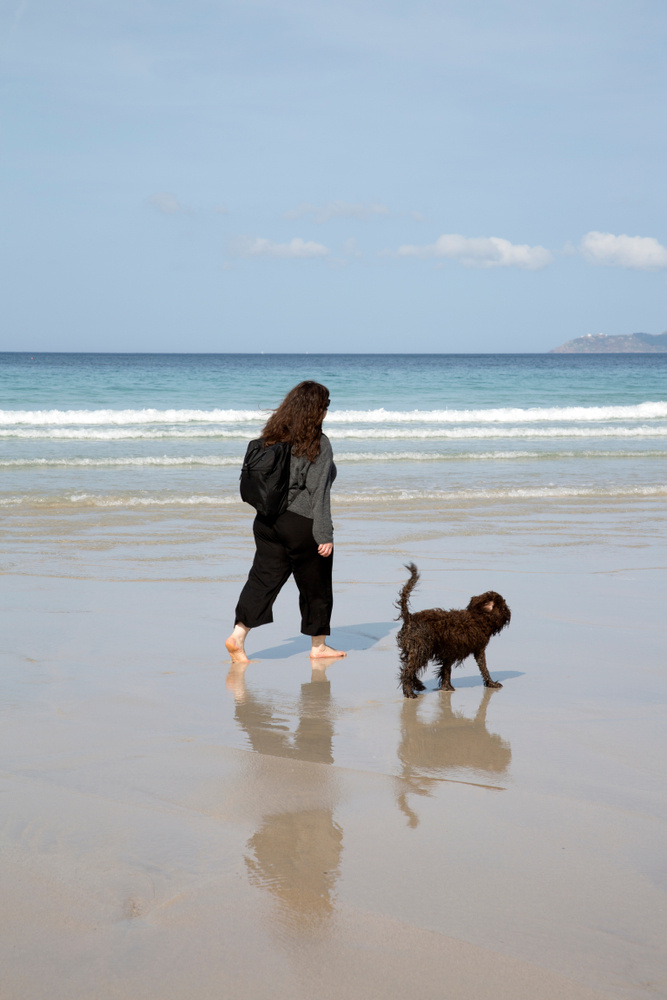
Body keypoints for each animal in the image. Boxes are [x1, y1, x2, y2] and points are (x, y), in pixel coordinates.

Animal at [396, 568, 512, 700]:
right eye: (504, 607)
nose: (509, 612)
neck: (479, 618)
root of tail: (410, 618)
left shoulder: (449, 653)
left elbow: (446, 670)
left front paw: (446, 687)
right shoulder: (478, 649)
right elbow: (484, 668)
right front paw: (491, 683)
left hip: (413, 649)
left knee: (410, 668)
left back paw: (418, 685)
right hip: (421, 649)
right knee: (408, 671)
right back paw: (409, 692)